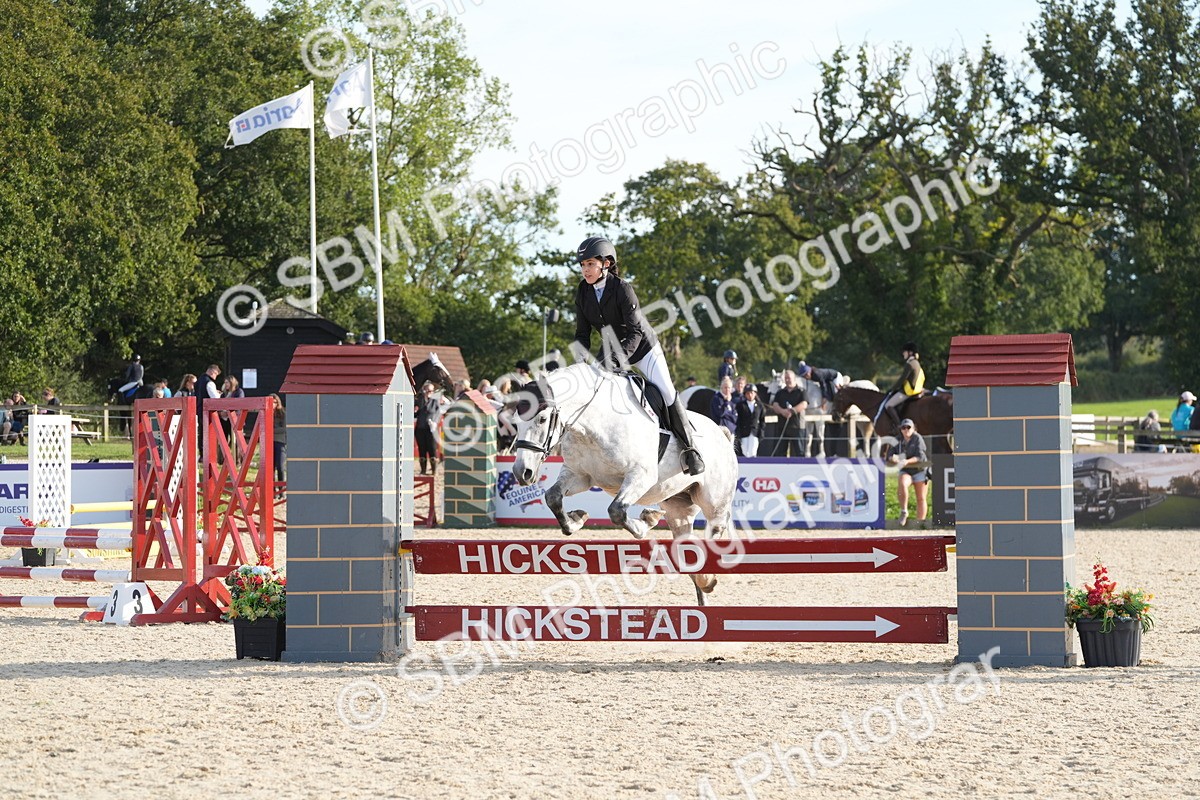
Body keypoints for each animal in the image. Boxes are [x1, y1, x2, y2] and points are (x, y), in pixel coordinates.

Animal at [509, 364, 739, 603]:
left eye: (542, 419)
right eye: (515, 421)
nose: (522, 472)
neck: (593, 425)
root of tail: (724, 435)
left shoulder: (640, 476)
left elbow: (617, 511)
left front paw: (645, 521)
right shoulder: (579, 475)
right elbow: (553, 498)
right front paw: (577, 519)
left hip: (714, 503)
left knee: (714, 530)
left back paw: (707, 579)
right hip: (678, 509)